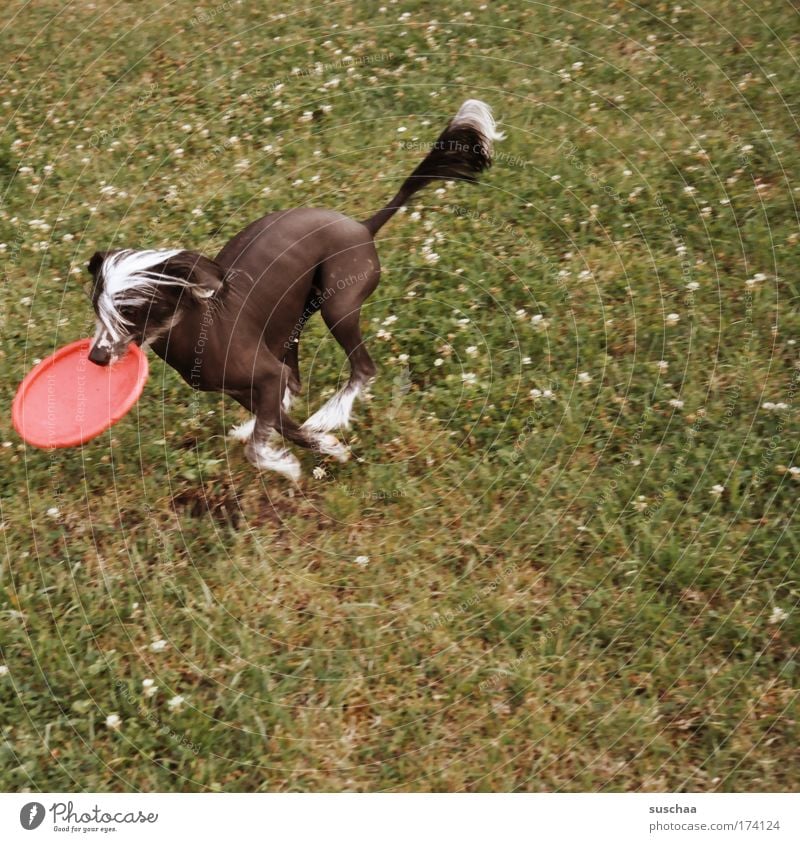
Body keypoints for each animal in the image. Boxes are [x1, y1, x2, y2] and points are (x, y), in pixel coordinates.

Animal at [86, 99, 500, 480]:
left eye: (130, 310)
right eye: (96, 307)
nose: (95, 358)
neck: (202, 328)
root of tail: (362, 226)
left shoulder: (269, 376)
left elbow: (262, 445)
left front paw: (290, 462)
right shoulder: (247, 389)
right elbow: (286, 427)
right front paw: (327, 448)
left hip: (338, 306)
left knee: (363, 368)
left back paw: (330, 414)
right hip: (296, 319)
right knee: (298, 381)